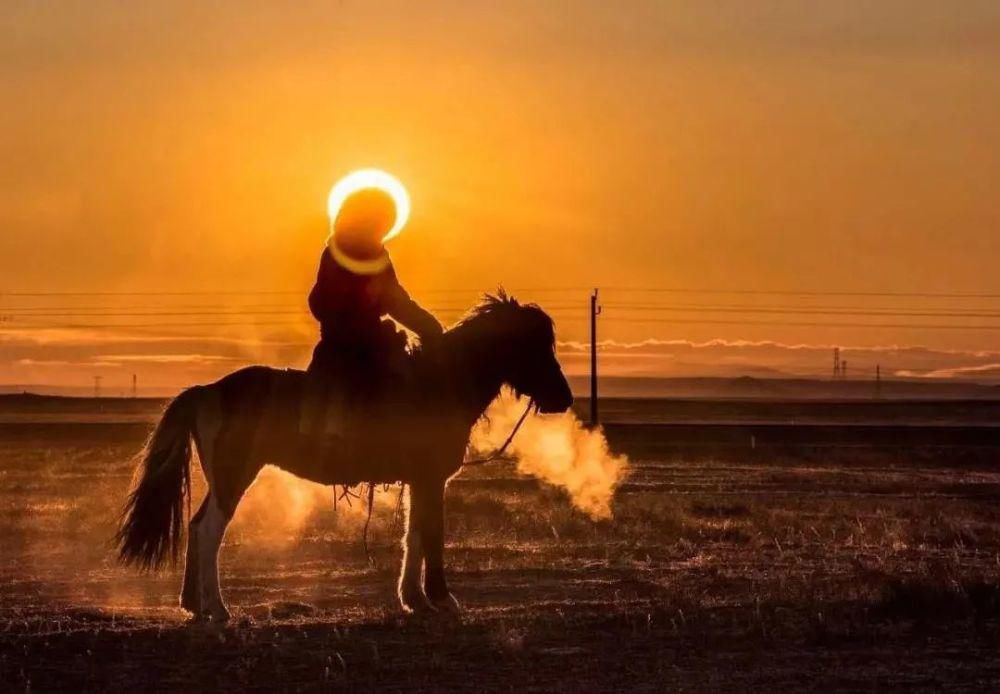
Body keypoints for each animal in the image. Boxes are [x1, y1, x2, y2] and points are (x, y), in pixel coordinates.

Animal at [115, 290, 572, 624]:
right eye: (534, 346)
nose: (564, 399)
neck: (439, 382)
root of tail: (207, 391)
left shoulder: (420, 480)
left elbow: (414, 536)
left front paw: (414, 600)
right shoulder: (430, 479)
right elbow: (432, 535)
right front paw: (442, 600)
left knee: (196, 528)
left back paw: (193, 605)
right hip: (235, 476)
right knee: (210, 530)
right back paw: (218, 608)